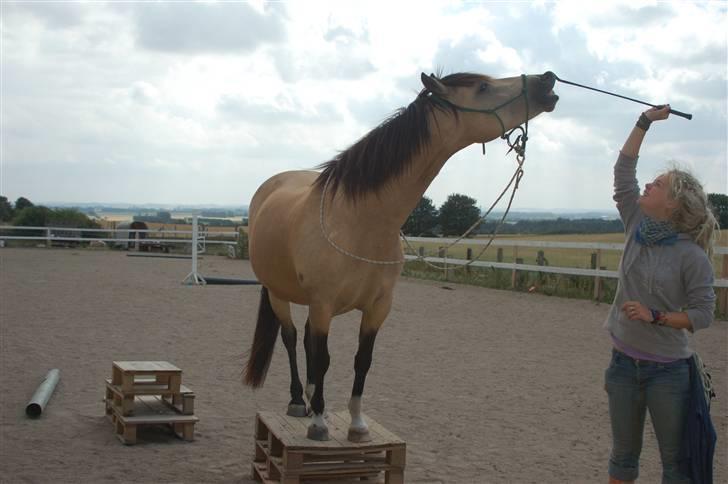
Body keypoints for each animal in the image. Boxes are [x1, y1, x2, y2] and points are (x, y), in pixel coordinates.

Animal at [243, 70, 556, 440]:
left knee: (305, 341)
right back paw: (298, 401)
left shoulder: (378, 307)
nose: (547, 81)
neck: (359, 221)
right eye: (483, 87)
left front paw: (357, 424)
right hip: (279, 294)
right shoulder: (323, 303)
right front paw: (319, 422)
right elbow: (324, 359)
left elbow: (361, 360)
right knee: (291, 338)